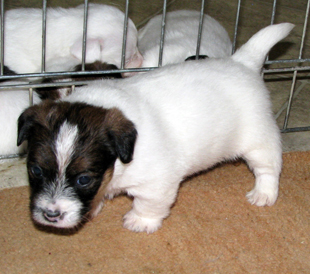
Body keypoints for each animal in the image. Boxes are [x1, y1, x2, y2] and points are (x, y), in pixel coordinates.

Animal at [18, 23, 294, 233]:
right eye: (35, 170)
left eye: (84, 179)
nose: (51, 215)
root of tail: (243, 62)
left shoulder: (156, 185)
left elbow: (149, 205)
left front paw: (139, 221)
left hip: (259, 140)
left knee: (269, 168)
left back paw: (263, 194)